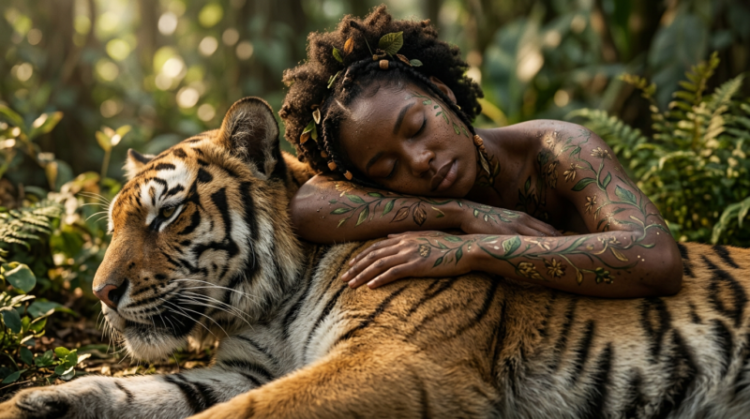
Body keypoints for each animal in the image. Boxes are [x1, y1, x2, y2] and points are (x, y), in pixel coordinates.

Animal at [1, 96, 749, 419]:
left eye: (166, 214)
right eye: (116, 224)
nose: (102, 294)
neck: (271, 302)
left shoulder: (397, 358)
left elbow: (235, 417)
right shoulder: (243, 370)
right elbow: (149, 390)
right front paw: (34, 402)